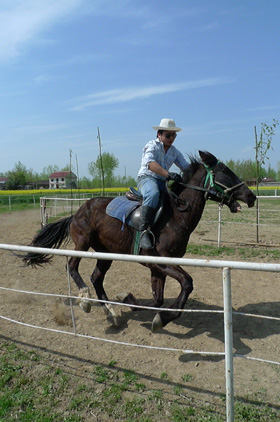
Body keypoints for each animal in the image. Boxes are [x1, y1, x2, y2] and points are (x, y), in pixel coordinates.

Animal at [21, 152, 256, 332]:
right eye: (225, 172)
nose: (251, 196)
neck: (175, 216)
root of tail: (77, 212)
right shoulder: (160, 261)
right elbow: (187, 283)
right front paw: (161, 318)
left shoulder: (158, 267)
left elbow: (158, 299)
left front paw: (130, 301)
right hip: (83, 243)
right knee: (72, 266)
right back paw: (85, 299)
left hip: (105, 254)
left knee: (96, 277)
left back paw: (111, 312)